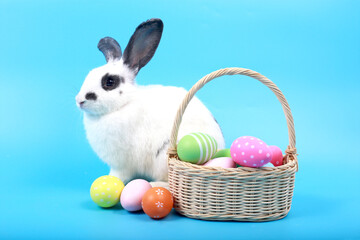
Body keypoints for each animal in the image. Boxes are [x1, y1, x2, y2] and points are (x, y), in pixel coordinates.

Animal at [74, 19, 224, 188]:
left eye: (110, 82)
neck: (123, 104)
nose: (79, 100)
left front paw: (111, 181)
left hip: (163, 158)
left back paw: (155, 185)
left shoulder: (122, 165)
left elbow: (118, 175)